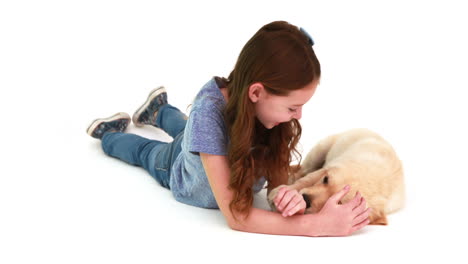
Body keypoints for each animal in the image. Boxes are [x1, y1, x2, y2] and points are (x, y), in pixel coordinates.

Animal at [268, 128, 404, 225]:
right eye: (326, 180)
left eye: (339, 202)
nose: (305, 199)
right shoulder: (327, 168)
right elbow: (306, 180)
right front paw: (278, 192)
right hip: (320, 150)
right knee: (303, 170)